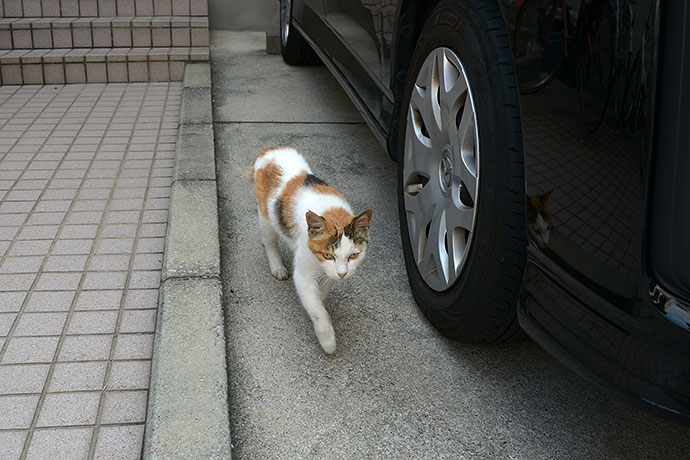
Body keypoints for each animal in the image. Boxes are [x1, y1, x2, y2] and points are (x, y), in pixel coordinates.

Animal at [249, 146, 370, 354]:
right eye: (328, 255)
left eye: (354, 255)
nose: (343, 274)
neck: (332, 213)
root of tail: (271, 149)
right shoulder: (304, 273)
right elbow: (316, 308)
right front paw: (328, 340)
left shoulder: (326, 273)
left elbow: (320, 293)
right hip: (265, 214)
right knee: (270, 239)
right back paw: (277, 266)